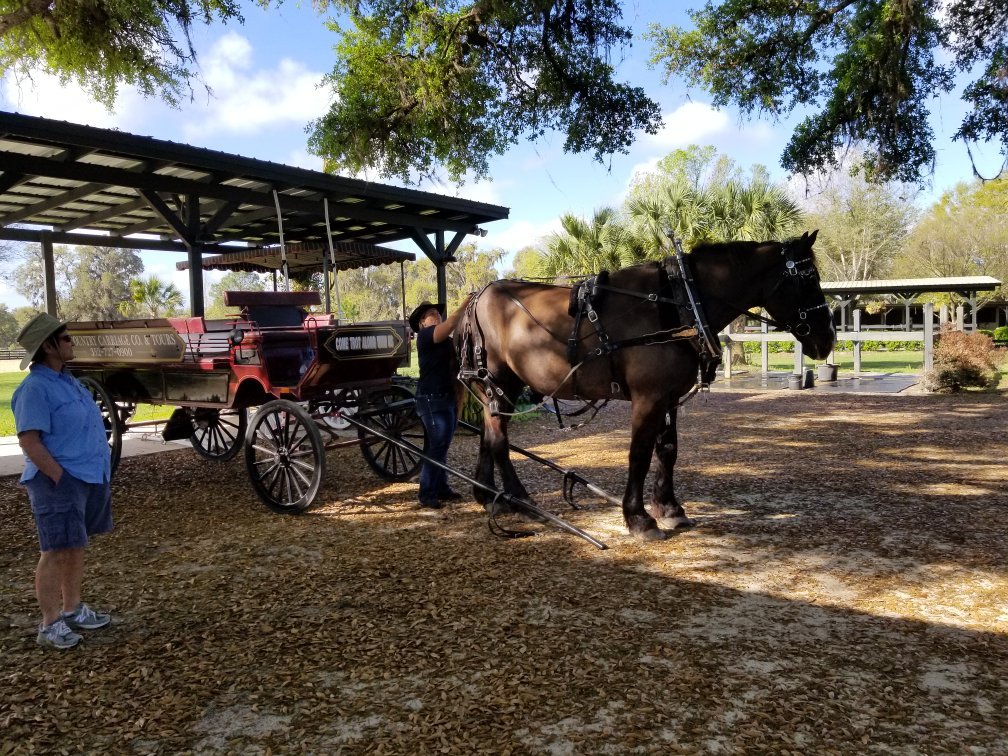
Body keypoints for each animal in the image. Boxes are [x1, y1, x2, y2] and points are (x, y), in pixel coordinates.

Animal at [457, 230, 834, 540]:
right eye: (808, 278)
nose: (827, 338)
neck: (680, 304)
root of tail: (480, 294)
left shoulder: (668, 397)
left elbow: (667, 450)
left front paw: (669, 508)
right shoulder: (648, 397)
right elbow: (639, 453)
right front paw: (638, 518)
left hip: (494, 389)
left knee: (489, 435)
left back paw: (489, 495)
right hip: (500, 381)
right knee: (499, 439)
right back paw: (519, 497)